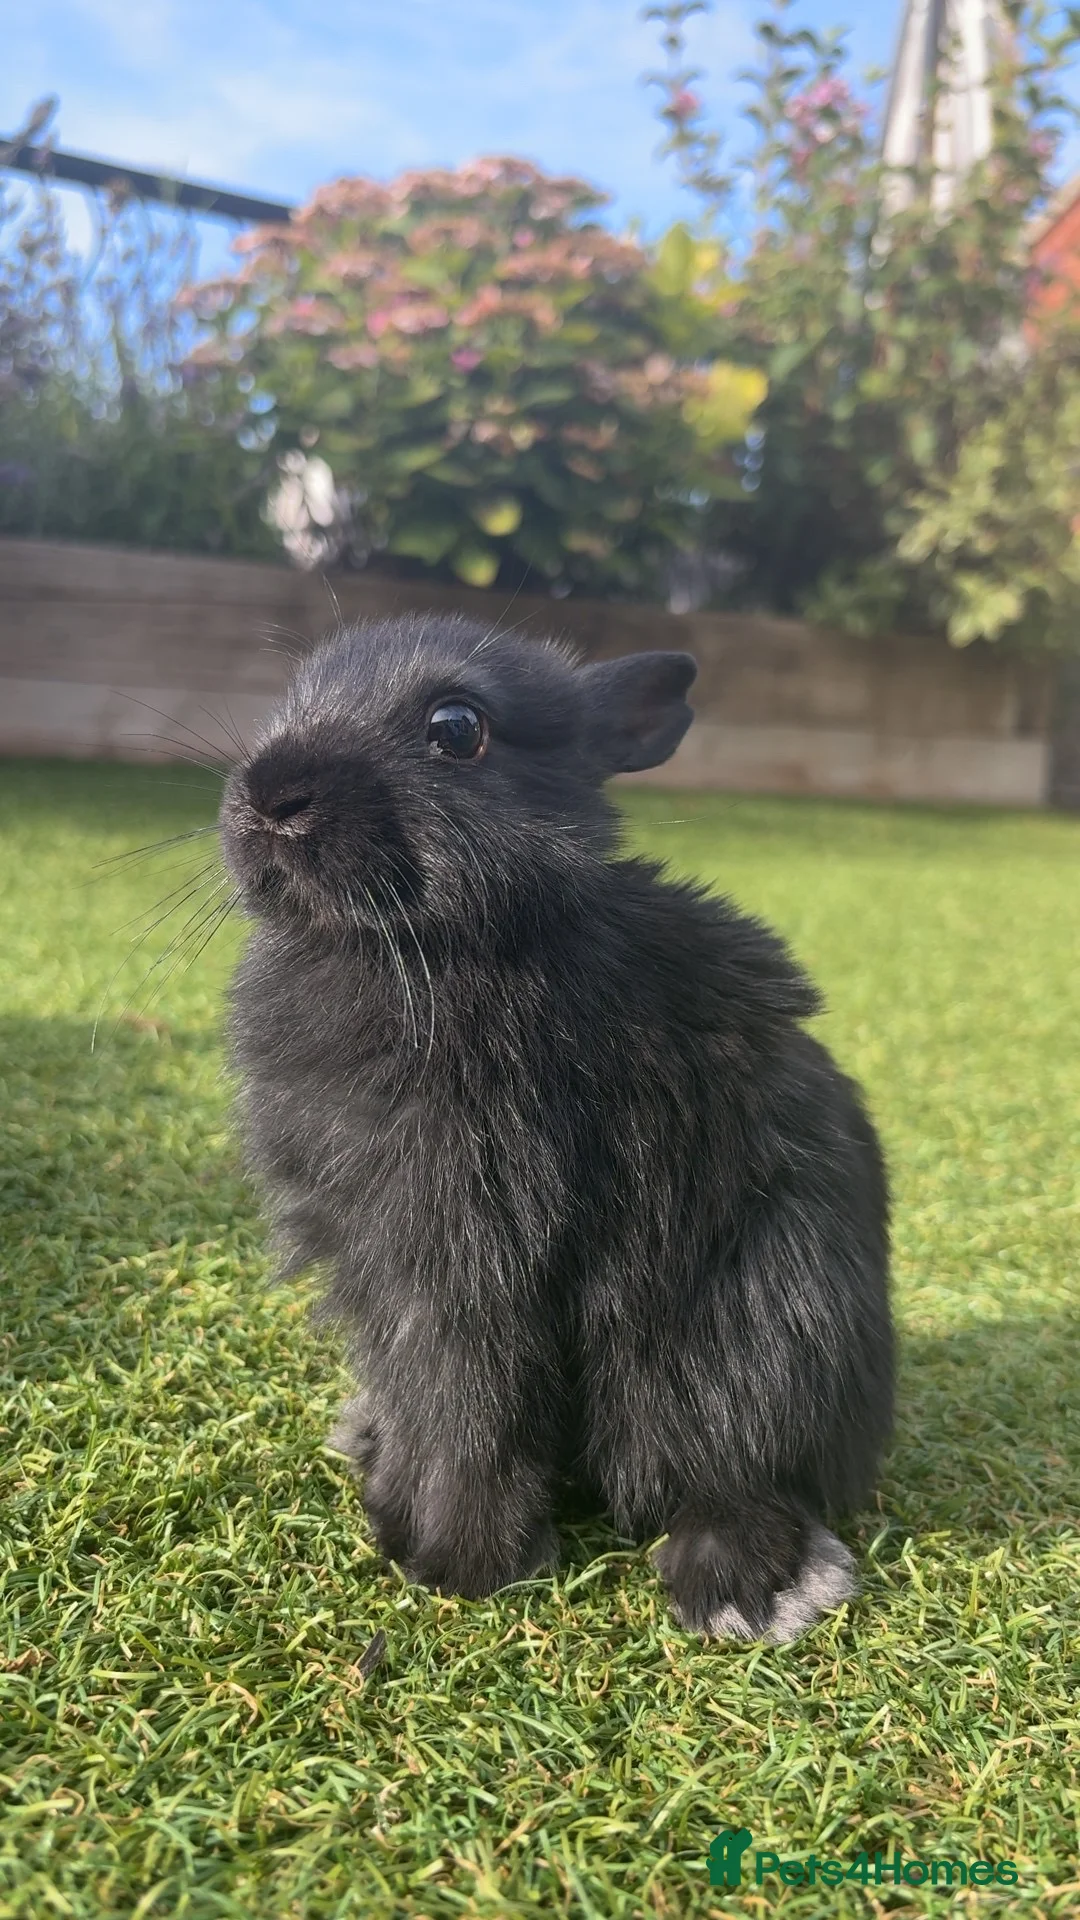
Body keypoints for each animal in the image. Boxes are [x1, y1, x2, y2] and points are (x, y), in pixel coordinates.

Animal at [219, 613, 893, 1643]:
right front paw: (398, 1507)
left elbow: (473, 1412)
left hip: (747, 1331)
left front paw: (455, 1567)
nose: (270, 796)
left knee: (727, 1473)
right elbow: (426, 1401)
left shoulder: (472, 1254)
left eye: (458, 729)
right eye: (294, 693)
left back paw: (745, 1584)